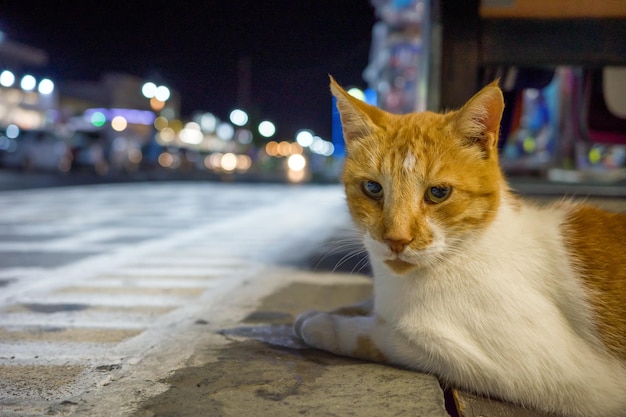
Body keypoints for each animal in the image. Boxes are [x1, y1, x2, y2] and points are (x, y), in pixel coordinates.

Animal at [292, 77, 624, 416]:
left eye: (438, 193)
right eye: (373, 188)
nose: (396, 239)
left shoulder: (542, 372)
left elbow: (381, 334)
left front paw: (323, 323)